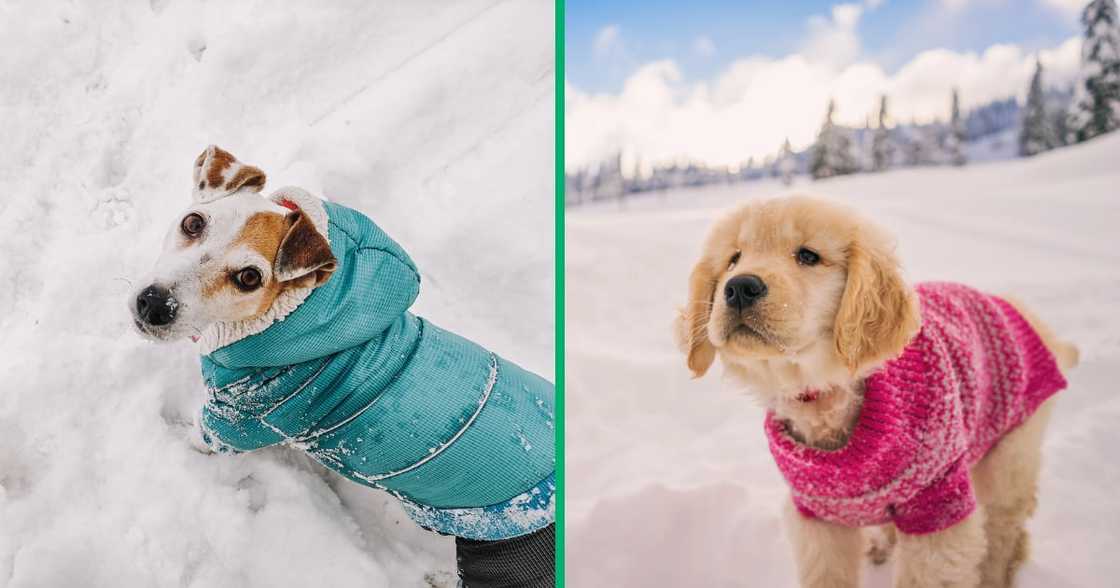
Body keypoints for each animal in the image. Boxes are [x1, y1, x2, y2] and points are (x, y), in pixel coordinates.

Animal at [133, 146, 557, 586]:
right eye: (193, 223)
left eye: (249, 277)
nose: (155, 304)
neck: (288, 313)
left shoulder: (237, 420)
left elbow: (201, 438)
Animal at [672, 196, 1075, 586]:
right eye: (733, 259)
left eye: (808, 256)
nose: (740, 287)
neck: (824, 392)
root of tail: (1017, 309)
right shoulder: (819, 518)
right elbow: (827, 576)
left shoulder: (938, 507)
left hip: (1010, 455)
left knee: (1003, 532)